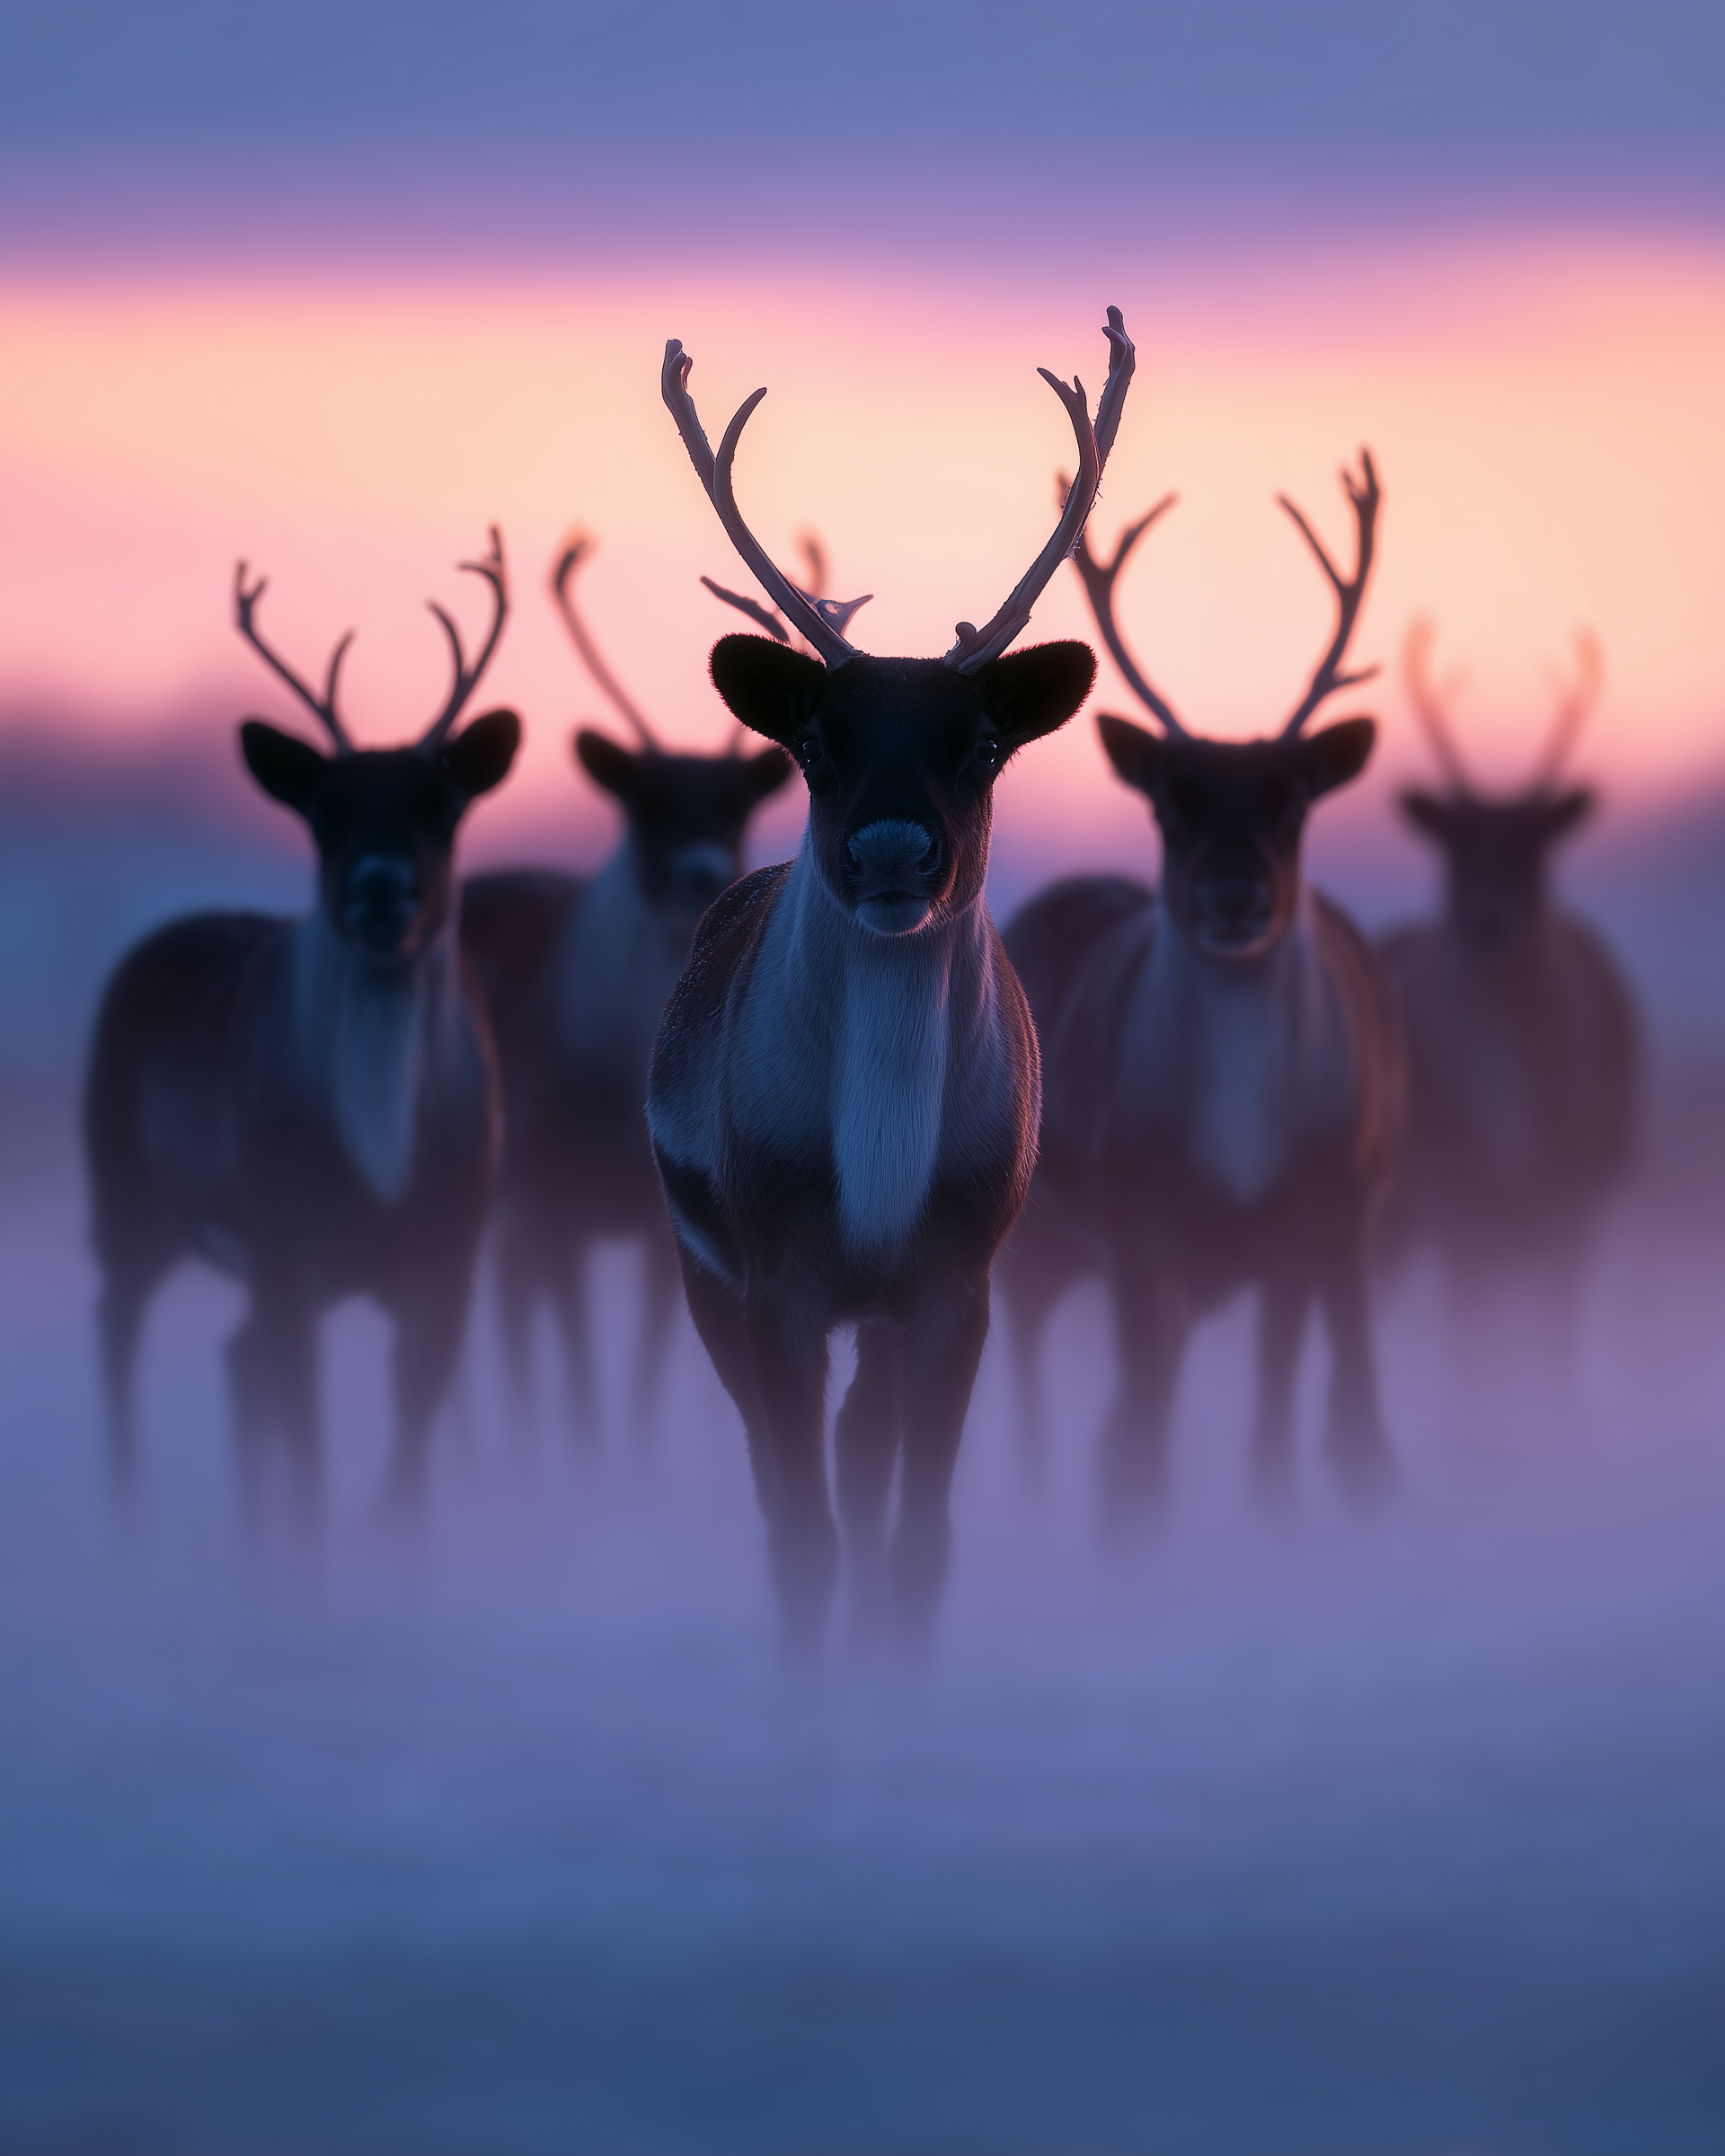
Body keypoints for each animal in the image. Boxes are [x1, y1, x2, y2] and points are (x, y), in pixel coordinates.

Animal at [84, 534, 521, 1516]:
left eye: (445, 807)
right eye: (323, 812)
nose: (380, 889)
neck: (383, 1166)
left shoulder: (451, 1259)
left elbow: (405, 1474)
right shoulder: (283, 1242)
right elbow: (316, 1466)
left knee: (234, 1360)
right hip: (124, 1188)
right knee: (120, 1327)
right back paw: (127, 1522)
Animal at [460, 533, 794, 1442]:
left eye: (737, 806)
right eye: (643, 803)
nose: (700, 872)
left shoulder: (659, 1222)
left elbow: (642, 1381)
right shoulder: (555, 1210)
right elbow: (581, 1382)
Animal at [645, 308, 1135, 1645]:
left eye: (984, 742)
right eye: (815, 742)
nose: (892, 853)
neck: (873, 1169)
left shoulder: (956, 1284)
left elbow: (916, 1542)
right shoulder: (774, 1280)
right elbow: (803, 1533)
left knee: (866, 1470)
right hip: (703, 1266)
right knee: (794, 1493)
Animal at [998, 453, 1403, 1516]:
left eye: (1296, 802)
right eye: (1169, 804)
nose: (1231, 894)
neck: (1237, 1143)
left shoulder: (1304, 1221)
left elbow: (1269, 1427)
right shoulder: (1137, 1224)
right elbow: (1137, 1433)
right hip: (1042, 1241)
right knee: (1037, 1374)